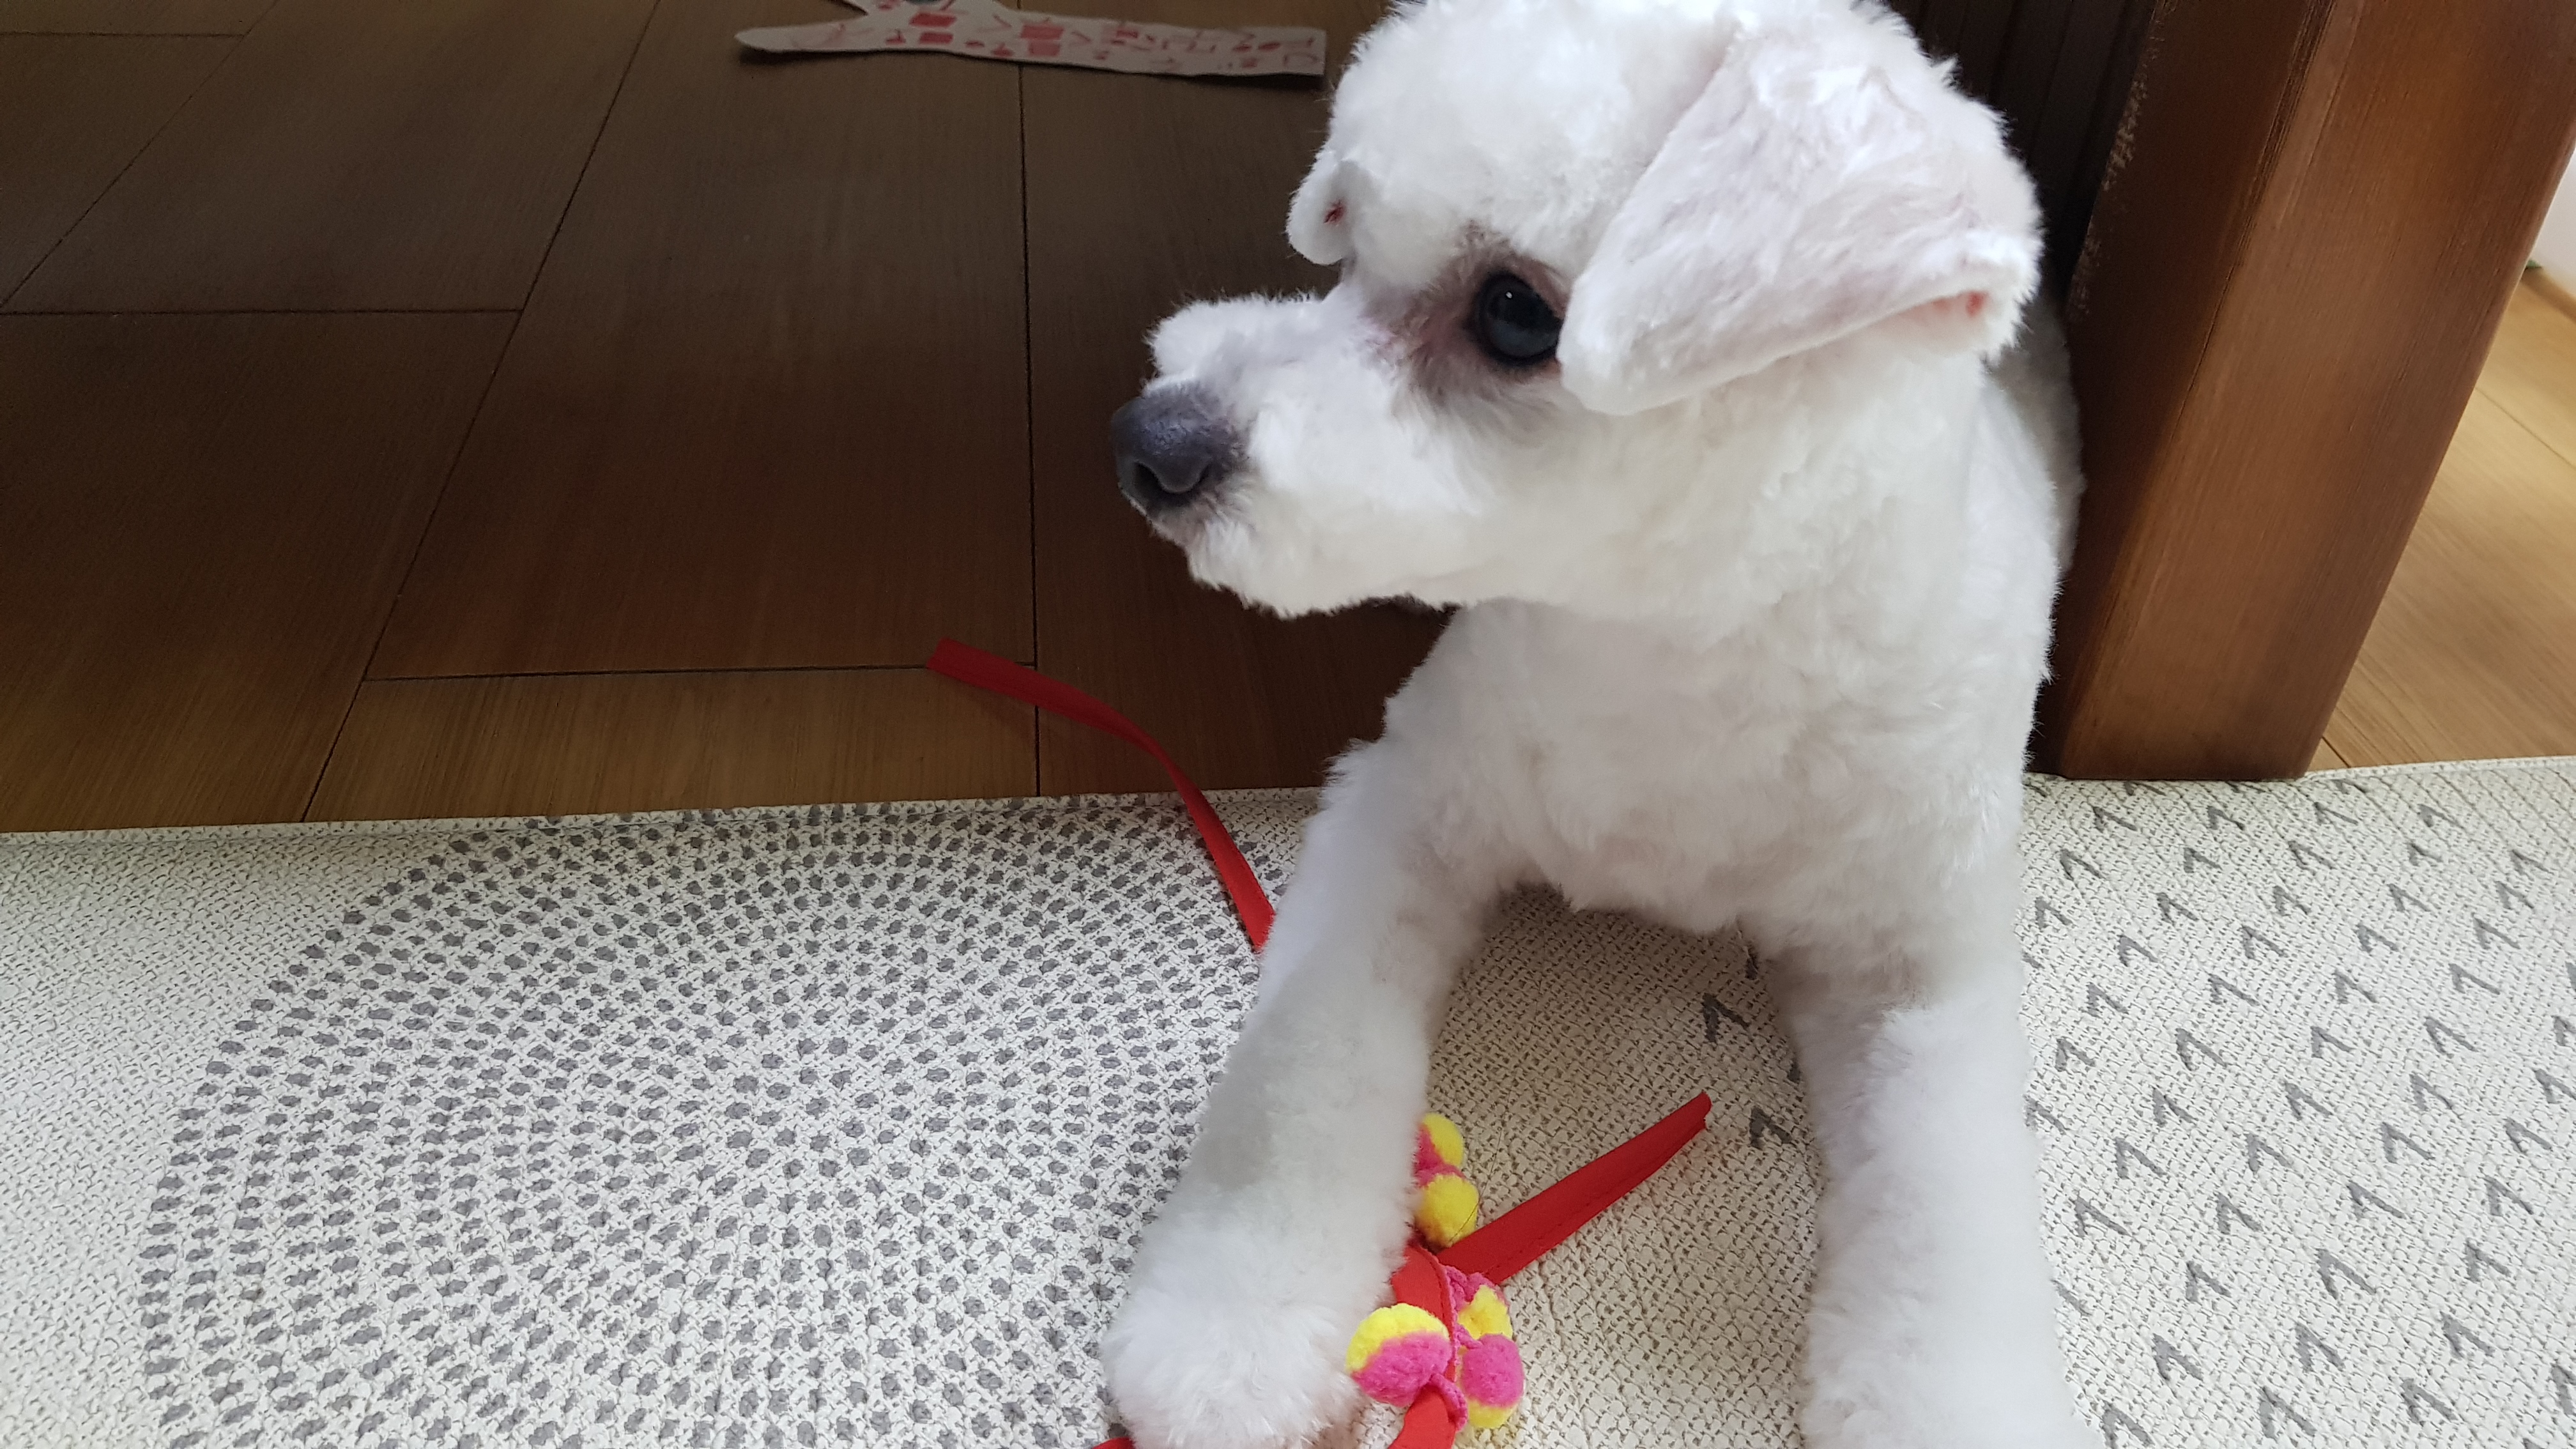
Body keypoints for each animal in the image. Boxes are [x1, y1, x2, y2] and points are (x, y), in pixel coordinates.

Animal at [1098, 0, 2088, 1445]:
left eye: (1514, 312)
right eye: (1349, 244)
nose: (1150, 443)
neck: (1671, 647)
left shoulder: (1920, 970)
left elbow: (1946, 1237)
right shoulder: (1406, 807)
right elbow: (1304, 1068)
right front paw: (1234, 1321)